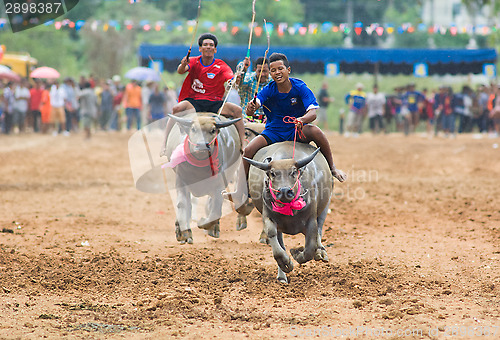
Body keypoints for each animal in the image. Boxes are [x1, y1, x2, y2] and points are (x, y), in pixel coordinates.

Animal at [164, 113, 242, 243]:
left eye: (213, 130)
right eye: (193, 129)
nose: (202, 145)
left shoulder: (219, 185)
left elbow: (216, 209)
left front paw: (204, 223)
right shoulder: (181, 181)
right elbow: (182, 204)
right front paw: (184, 233)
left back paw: (213, 228)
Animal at [244, 141, 334, 284]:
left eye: (293, 172)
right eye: (272, 173)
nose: (285, 191)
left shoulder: (311, 220)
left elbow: (309, 249)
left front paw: (297, 254)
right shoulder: (268, 217)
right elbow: (275, 241)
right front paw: (286, 263)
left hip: (326, 204)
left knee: (320, 228)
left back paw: (321, 252)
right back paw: (282, 276)